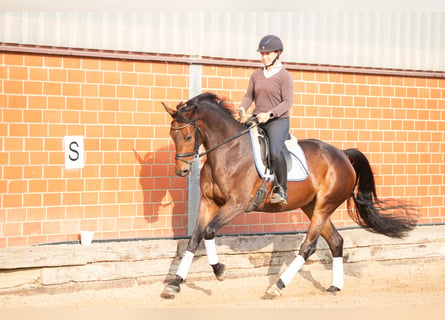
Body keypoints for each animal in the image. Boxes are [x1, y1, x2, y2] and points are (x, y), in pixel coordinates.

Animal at [160, 93, 416, 300]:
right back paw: (335, 286)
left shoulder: (237, 204)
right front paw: (175, 284)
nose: (181, 171)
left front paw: (219, 270)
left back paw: (278, 286)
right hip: (312, 206)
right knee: (336, 241)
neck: (228, 151)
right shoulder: (208, 203)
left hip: (324, 205)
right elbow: (194, 239)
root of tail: (342, 155)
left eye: (188, 137)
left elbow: (209, 231)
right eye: (172, 135)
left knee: (308, 247)